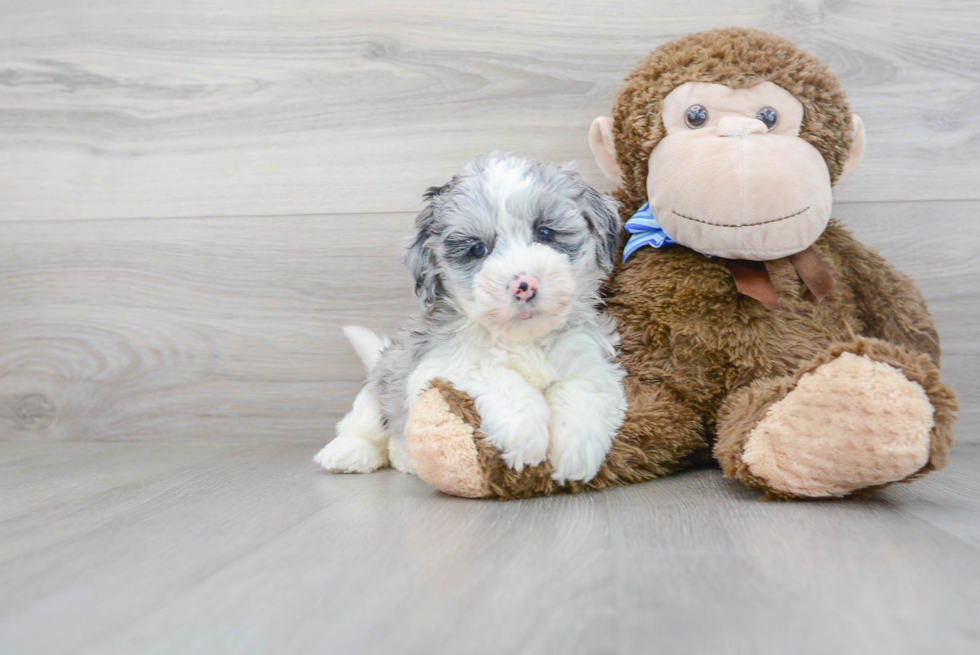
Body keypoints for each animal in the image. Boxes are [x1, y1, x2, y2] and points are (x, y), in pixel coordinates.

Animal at [316, 152, 628, 482]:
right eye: (478, 249)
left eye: (545, 232)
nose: (524, 285)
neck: (523, 339)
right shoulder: (439, 366)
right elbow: (497, 376)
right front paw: (526, 434)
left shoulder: (588, 358)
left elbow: (585, 389)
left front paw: (577, 449)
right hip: (383, 383)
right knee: (365, 424)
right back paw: (349, 452)